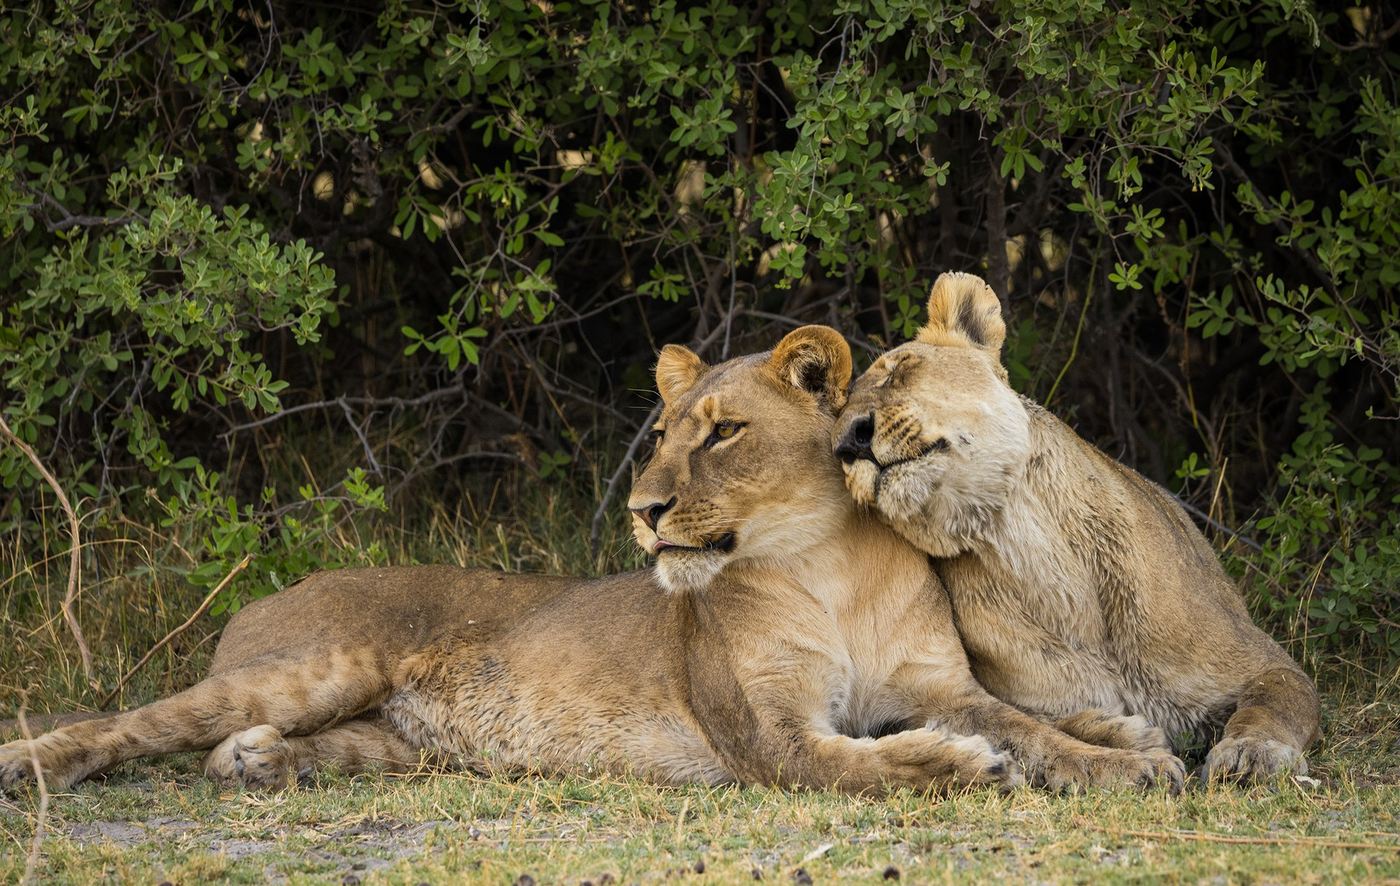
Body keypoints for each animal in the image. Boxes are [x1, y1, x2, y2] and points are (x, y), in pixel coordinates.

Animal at [0, 327, 1183, 797]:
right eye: (658, 434)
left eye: (721, 433)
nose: (645, 513)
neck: (828, 570)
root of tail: (263, 599)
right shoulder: (765, 735)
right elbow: (863, 763)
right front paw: (959, 766)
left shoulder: (934, 684)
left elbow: (1025, 720)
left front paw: (1120, 755)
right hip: (312, 667)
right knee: (125, 727)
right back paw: (29, 768)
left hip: (397, 741)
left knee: (259, 750)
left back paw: (254, 764)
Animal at [832, 272, 1320, 780]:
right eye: (835, 420)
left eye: (899, 371)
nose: (848, 441)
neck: (1023, 547)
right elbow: (1044, 727)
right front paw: (1118, 735)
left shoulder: (1263, 662)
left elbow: (1272, 703)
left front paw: (1251, 752)